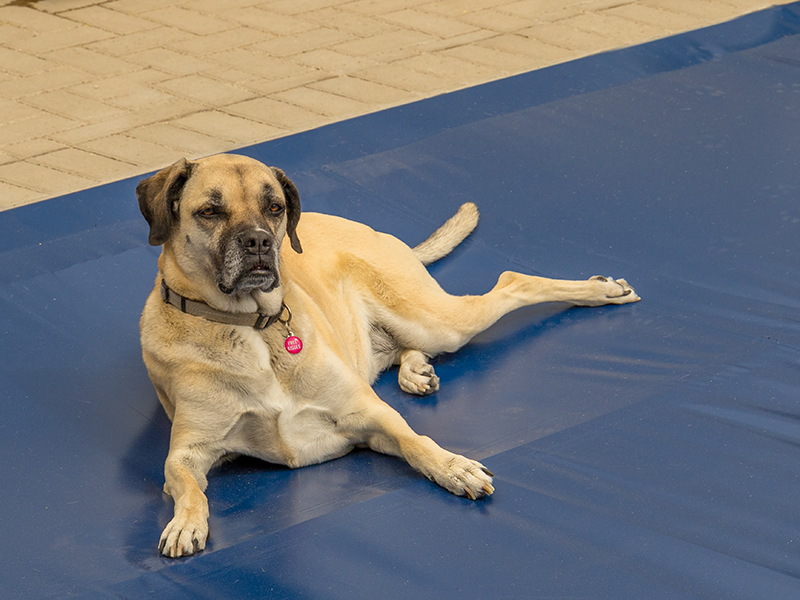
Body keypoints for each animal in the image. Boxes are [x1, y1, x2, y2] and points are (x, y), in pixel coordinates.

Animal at [136, 154, 636, 556]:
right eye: (209, 211)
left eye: (274, 207)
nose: (259, 242)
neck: (252, 327)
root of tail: (373, 230)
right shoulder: (187, 452)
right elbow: (187, 487)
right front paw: (185, 522)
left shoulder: (367, 414)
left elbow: (417, 442)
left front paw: (453, 468)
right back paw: (416, 370)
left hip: (437, 320)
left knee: (512, 282)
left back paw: (600, 291)